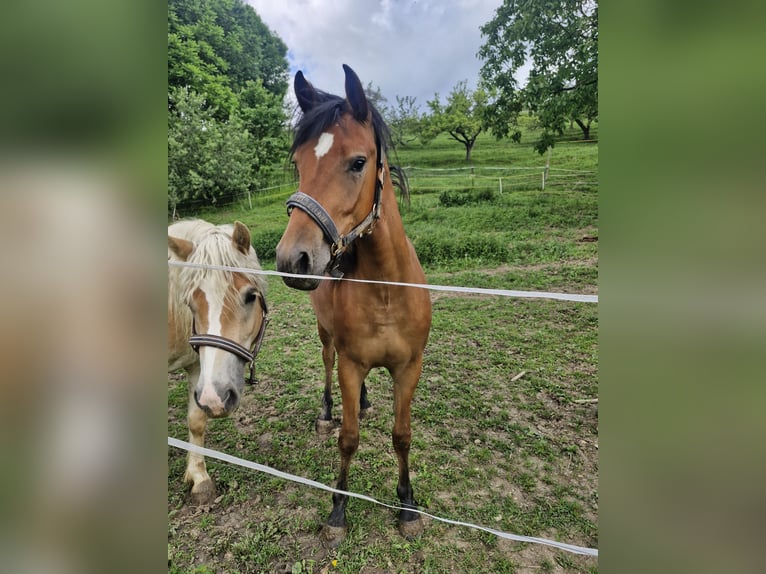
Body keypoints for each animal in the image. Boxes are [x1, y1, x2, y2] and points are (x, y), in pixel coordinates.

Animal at [168, 219, 268, 504]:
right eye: (190, 303)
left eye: (250, 296)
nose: (216, 398)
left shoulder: (197, 367)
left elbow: (196, 420)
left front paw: (199, 478)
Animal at [275, 64, 432, 546]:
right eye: (299, 163)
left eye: (358, 162)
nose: (292, 259)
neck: (384, 291)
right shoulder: (349, 363)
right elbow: (348, 438)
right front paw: (338, 511)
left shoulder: (409, 368)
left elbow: (402, 436)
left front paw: (407, 506)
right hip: (327, 338)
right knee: (327, 367)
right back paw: (327, 413)